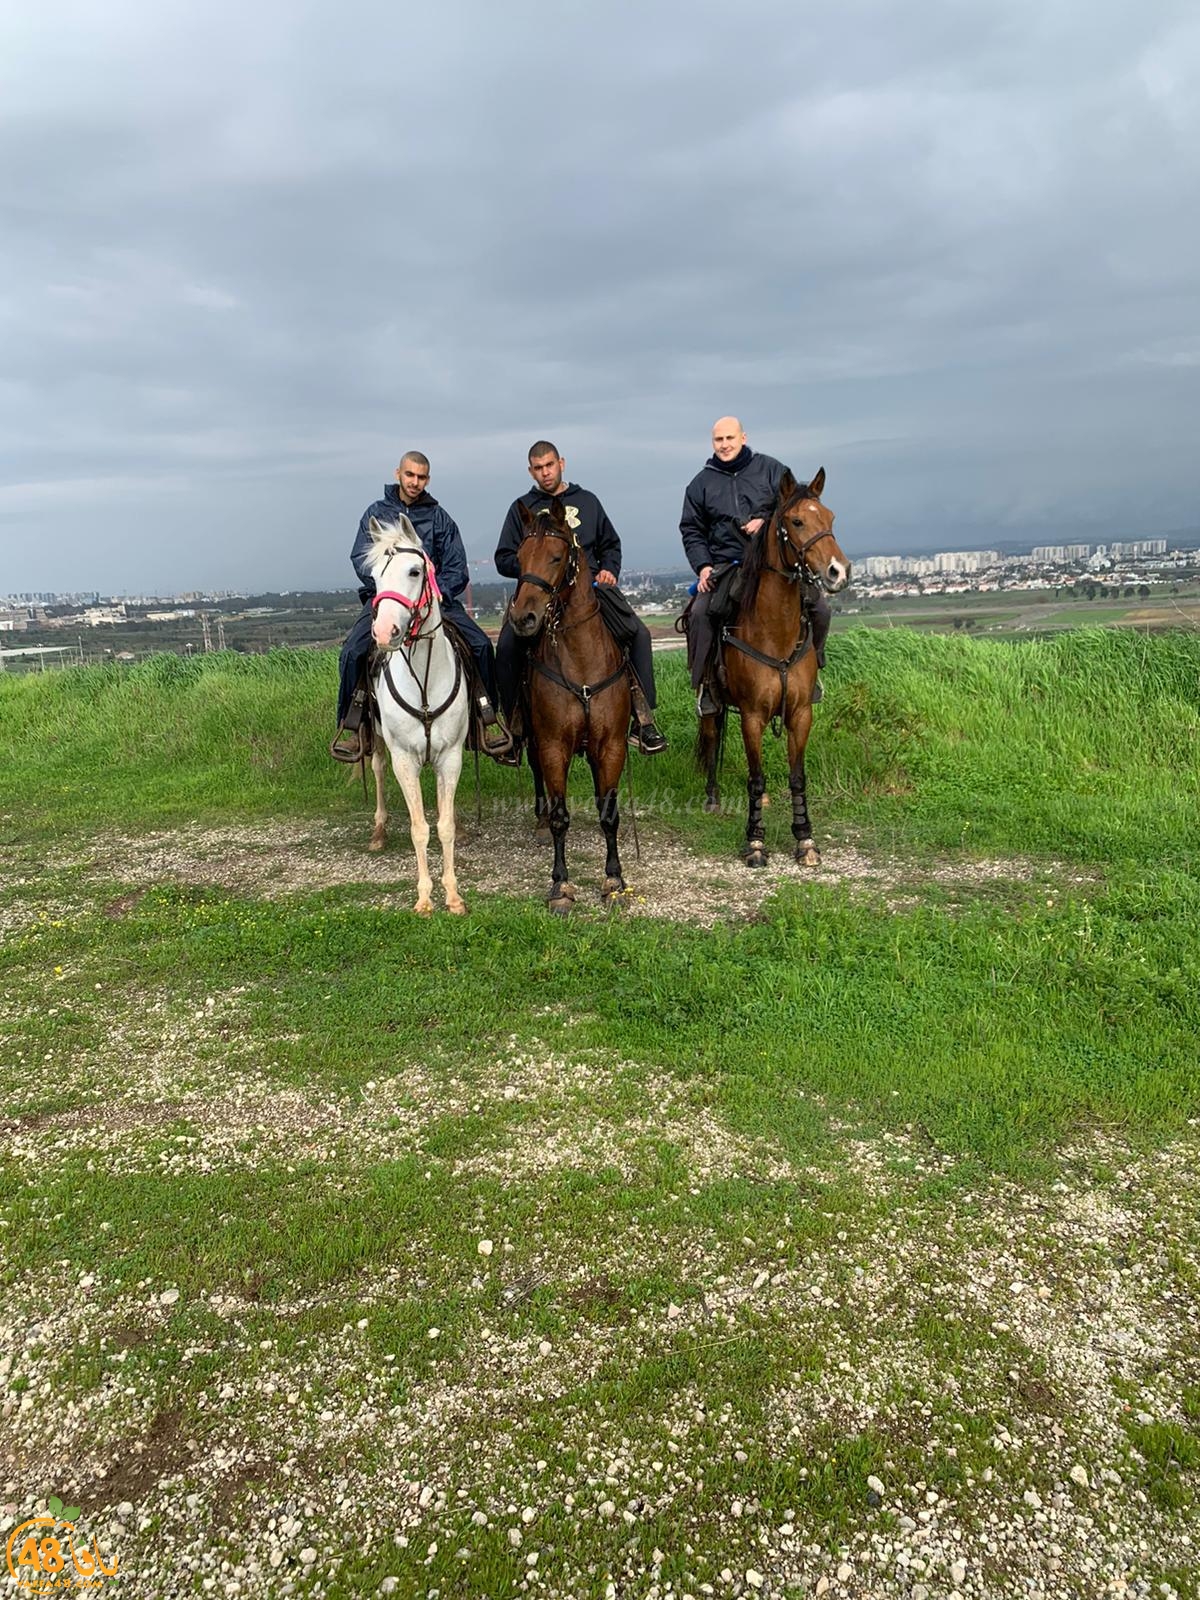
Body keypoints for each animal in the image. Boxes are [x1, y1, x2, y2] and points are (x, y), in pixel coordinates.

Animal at [364, 512, 473, 915]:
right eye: (374, 576)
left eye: (414, 571)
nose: (384, 632)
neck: (425, 681)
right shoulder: (405, 761)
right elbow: (418, 828)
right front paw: (425, 897)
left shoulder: (450, 757)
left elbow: (444, 825)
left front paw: (453, 896)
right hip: (377, 738)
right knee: (377, 769)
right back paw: (379, 831)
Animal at [508, 496, 633, 915]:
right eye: (519, 557)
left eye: (557, 556)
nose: (523, 618)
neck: (581, 660)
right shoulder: (552, 746)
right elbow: (561, 815)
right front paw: (560, 885)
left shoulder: (610, 746)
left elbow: (608, 812)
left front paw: (614, 879)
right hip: (533, 743)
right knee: (540, 787)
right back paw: (540, 823)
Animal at [694, 467, 857, 870]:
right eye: (796, 521)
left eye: (830, 517)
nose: (839, 572)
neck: (775, 632)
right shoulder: (751, 715)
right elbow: (756, 777)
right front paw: (754, 842)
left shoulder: (800, 713)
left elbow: (797, 778)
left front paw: (805, 839)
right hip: (713, 705)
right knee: (711, 737)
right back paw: (712, 797)